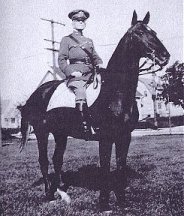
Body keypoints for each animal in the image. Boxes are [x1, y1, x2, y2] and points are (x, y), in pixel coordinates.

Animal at [19, 11, 170, 212]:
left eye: (153, 32)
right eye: (138, 33)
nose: (164, 56)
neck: (115, 91)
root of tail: (36, 93)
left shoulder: (124, 136)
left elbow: (120, 166)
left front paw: (122, 201)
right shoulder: (105, 138)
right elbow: (105, 167)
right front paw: (104, 203)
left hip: (61, 134)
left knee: (57, 159)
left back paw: (62, 194)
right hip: (42, 133)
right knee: (44, 160)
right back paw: (49, 195)